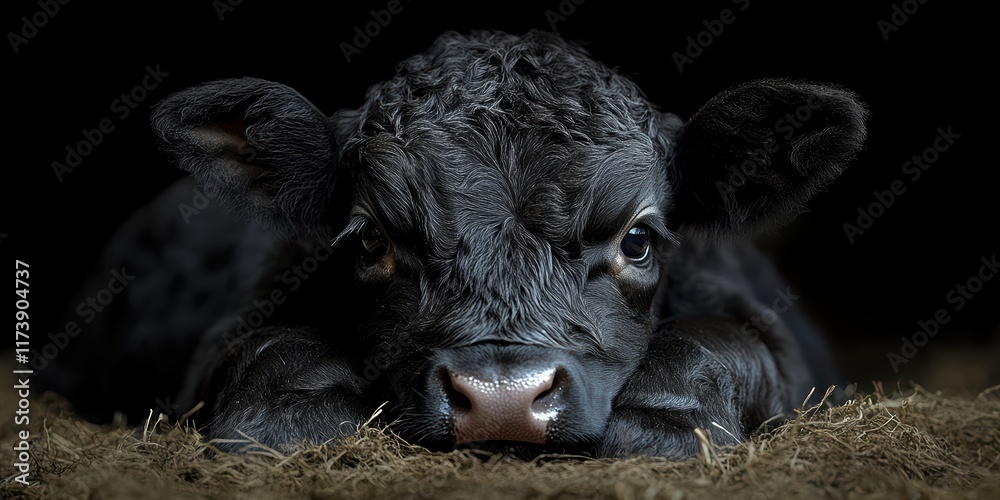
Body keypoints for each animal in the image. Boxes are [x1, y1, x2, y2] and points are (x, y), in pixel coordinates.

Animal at [39, 30, 866, 458]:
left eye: (638, 240)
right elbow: (273, 346)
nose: (503, 400)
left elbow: (722, 340)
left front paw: (666, 418)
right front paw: (289, 418)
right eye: (370, 238)